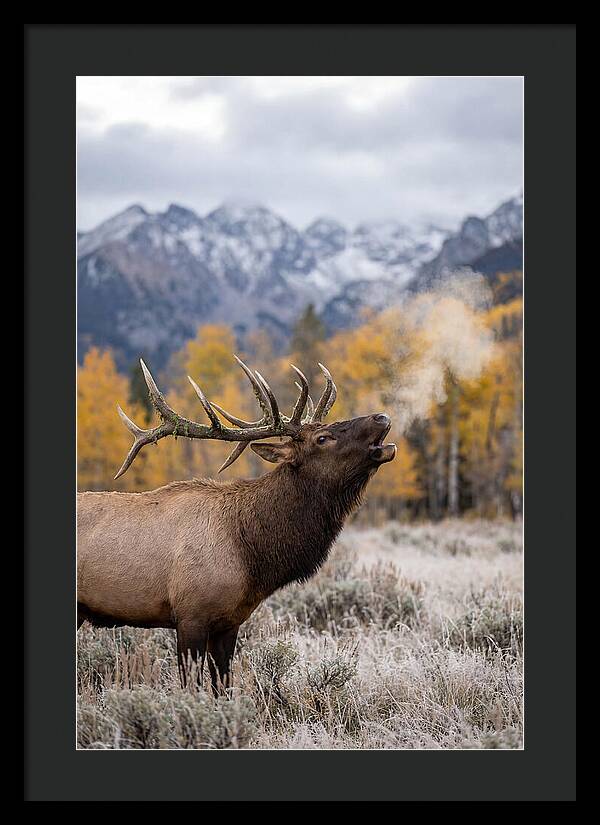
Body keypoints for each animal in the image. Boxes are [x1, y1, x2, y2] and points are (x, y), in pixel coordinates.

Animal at [77, 356, 396, 693]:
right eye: (322, 438)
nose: (381, 417)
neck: (250, 555)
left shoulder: (229, 622)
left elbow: (224, 686)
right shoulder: (190, 615)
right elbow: (191, 688)